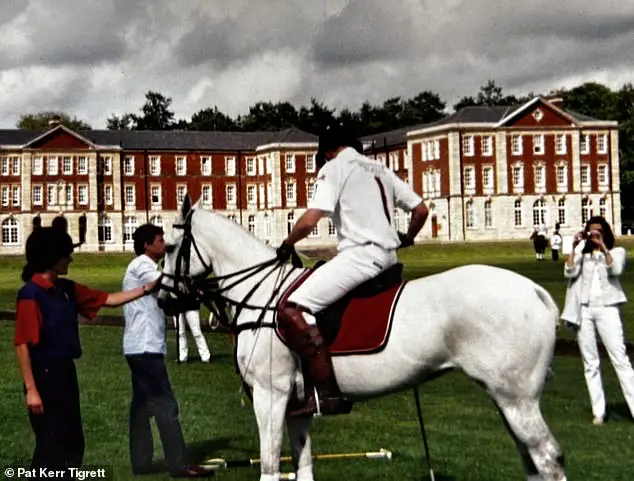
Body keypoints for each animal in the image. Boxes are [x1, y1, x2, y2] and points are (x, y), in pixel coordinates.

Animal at [159, 196, 568, 480]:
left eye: (169, 246)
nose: (164, 300)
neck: (260, 295)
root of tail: (536, 291)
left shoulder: (269, 395)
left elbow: (271, 467)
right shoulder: (296, 405)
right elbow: (303, 467)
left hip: (517, 398)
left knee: (547, 457)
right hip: (504, 397)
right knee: (531, 460)